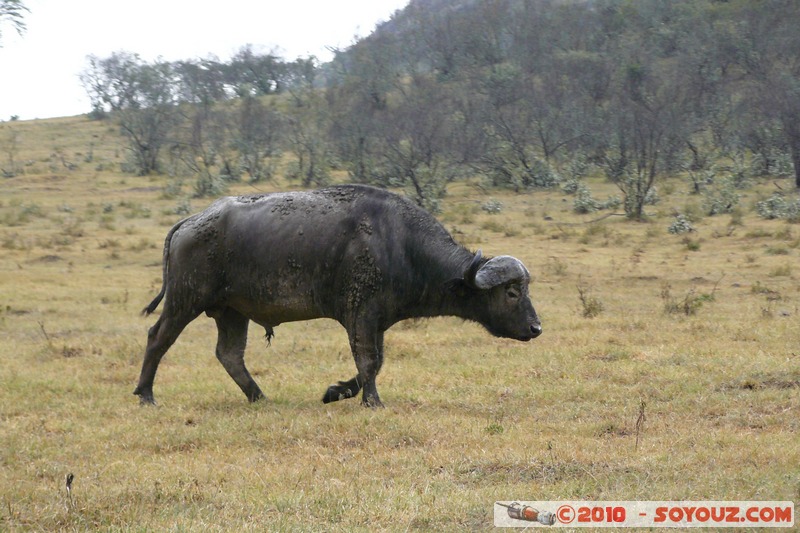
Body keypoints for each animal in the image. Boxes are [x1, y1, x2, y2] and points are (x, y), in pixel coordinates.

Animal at [134, 185, 540, 406]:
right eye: (512, 291)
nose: (536, 328)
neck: (402, 246)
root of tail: (191, 222)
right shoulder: (360, 314)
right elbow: (368, 361)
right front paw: (371, 401)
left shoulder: (376, 320)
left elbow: (375, 363)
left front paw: (336, 391)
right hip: (185, 300)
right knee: (158, 338)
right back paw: (145, 394)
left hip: (232, 312)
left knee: (229, 355)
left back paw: (259, 396)